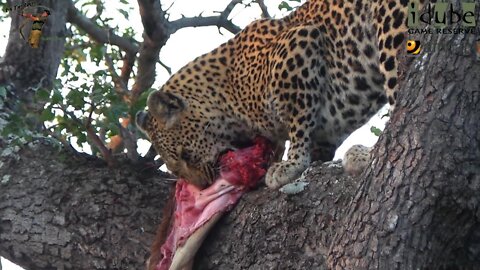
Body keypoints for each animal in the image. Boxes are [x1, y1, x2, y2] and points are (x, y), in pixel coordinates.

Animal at [136, 0, 416, 190]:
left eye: (186, 155)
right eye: (174, 168)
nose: (203, 186)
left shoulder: (300, 43)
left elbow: (300, 123)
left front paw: (291, 165)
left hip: (393, 29)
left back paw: (366, 154)